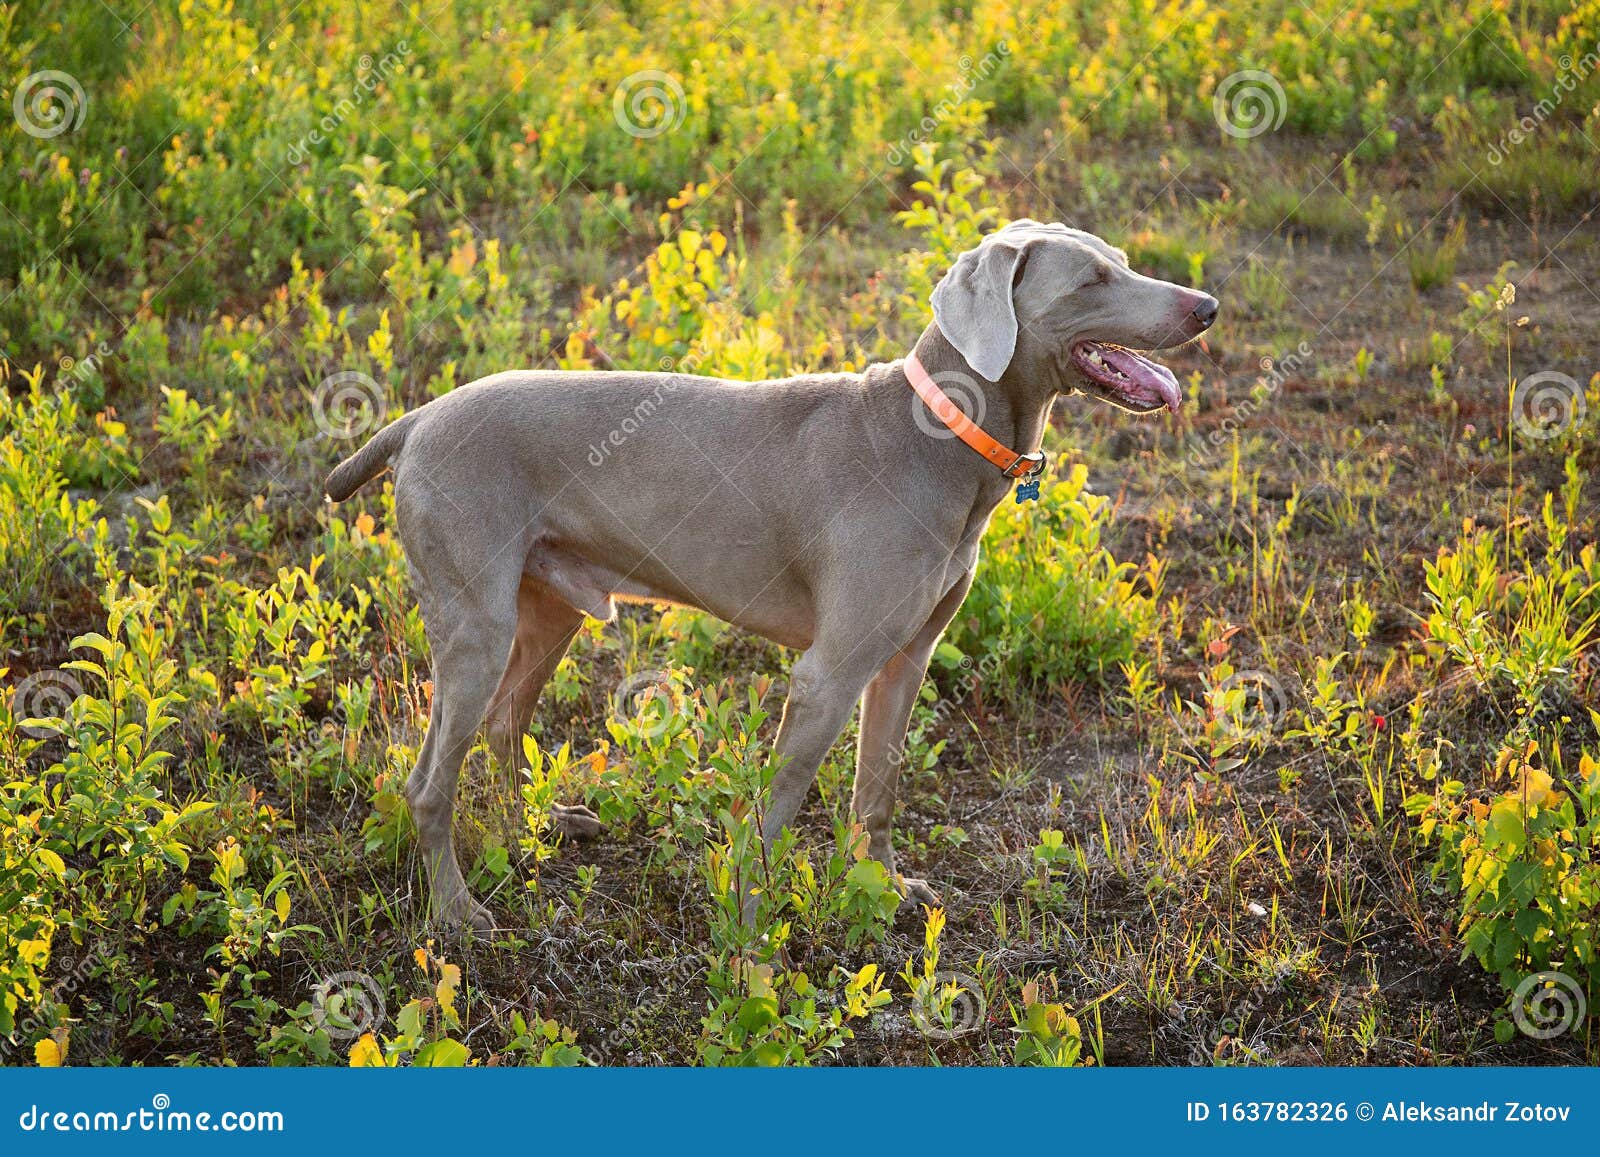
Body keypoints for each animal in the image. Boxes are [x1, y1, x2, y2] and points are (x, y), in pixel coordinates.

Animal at [331, 222, 1216, 934]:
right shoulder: (827, 673)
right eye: (1091, 280)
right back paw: (457, 912)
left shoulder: (906, 658)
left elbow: (877, 787)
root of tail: (418, 418)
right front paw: (749, 922)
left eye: (1122, 261)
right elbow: (779, 808)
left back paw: (539, 831)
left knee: (504, 721)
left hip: (550, 608)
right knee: (428, 782)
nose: (1207, 306)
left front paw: (883, 885)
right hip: (477, 623)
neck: (941, 433)